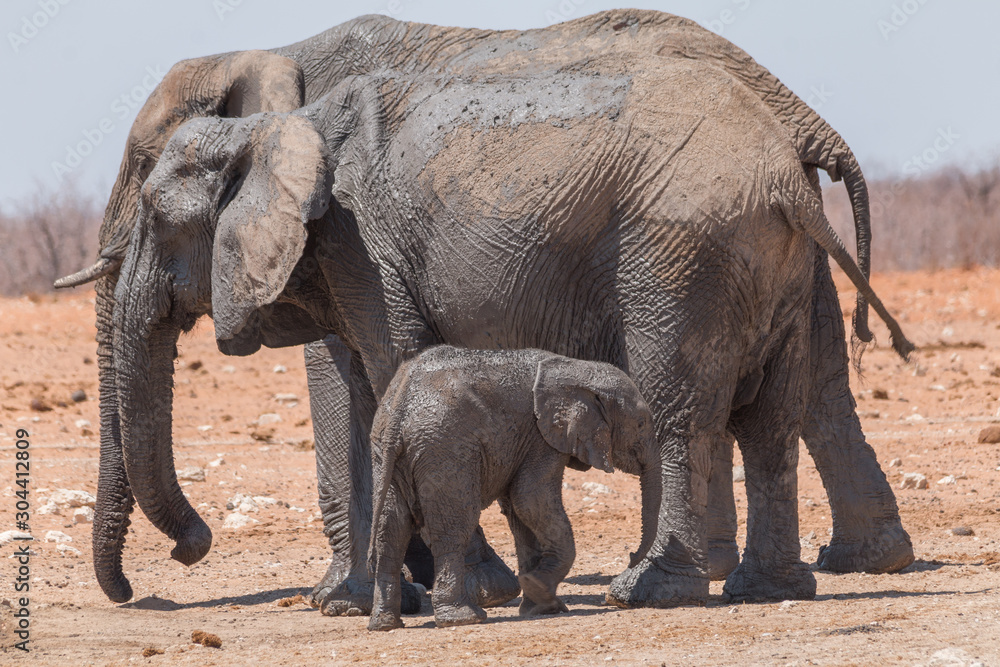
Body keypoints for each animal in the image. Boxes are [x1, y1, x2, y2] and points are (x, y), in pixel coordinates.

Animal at [366, 346, 662, 630]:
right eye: (641, 423)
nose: (630, 556)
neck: (575, 367)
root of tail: (400, 406)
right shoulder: (540, 436)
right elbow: (530, 499)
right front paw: (537, 589)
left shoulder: (527, 440)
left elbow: (519, 514)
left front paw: (540, 606)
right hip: (445, 451)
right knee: (453, 530)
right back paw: (464, 618)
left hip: (387, 455)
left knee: (390, 532)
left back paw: (384, 624)